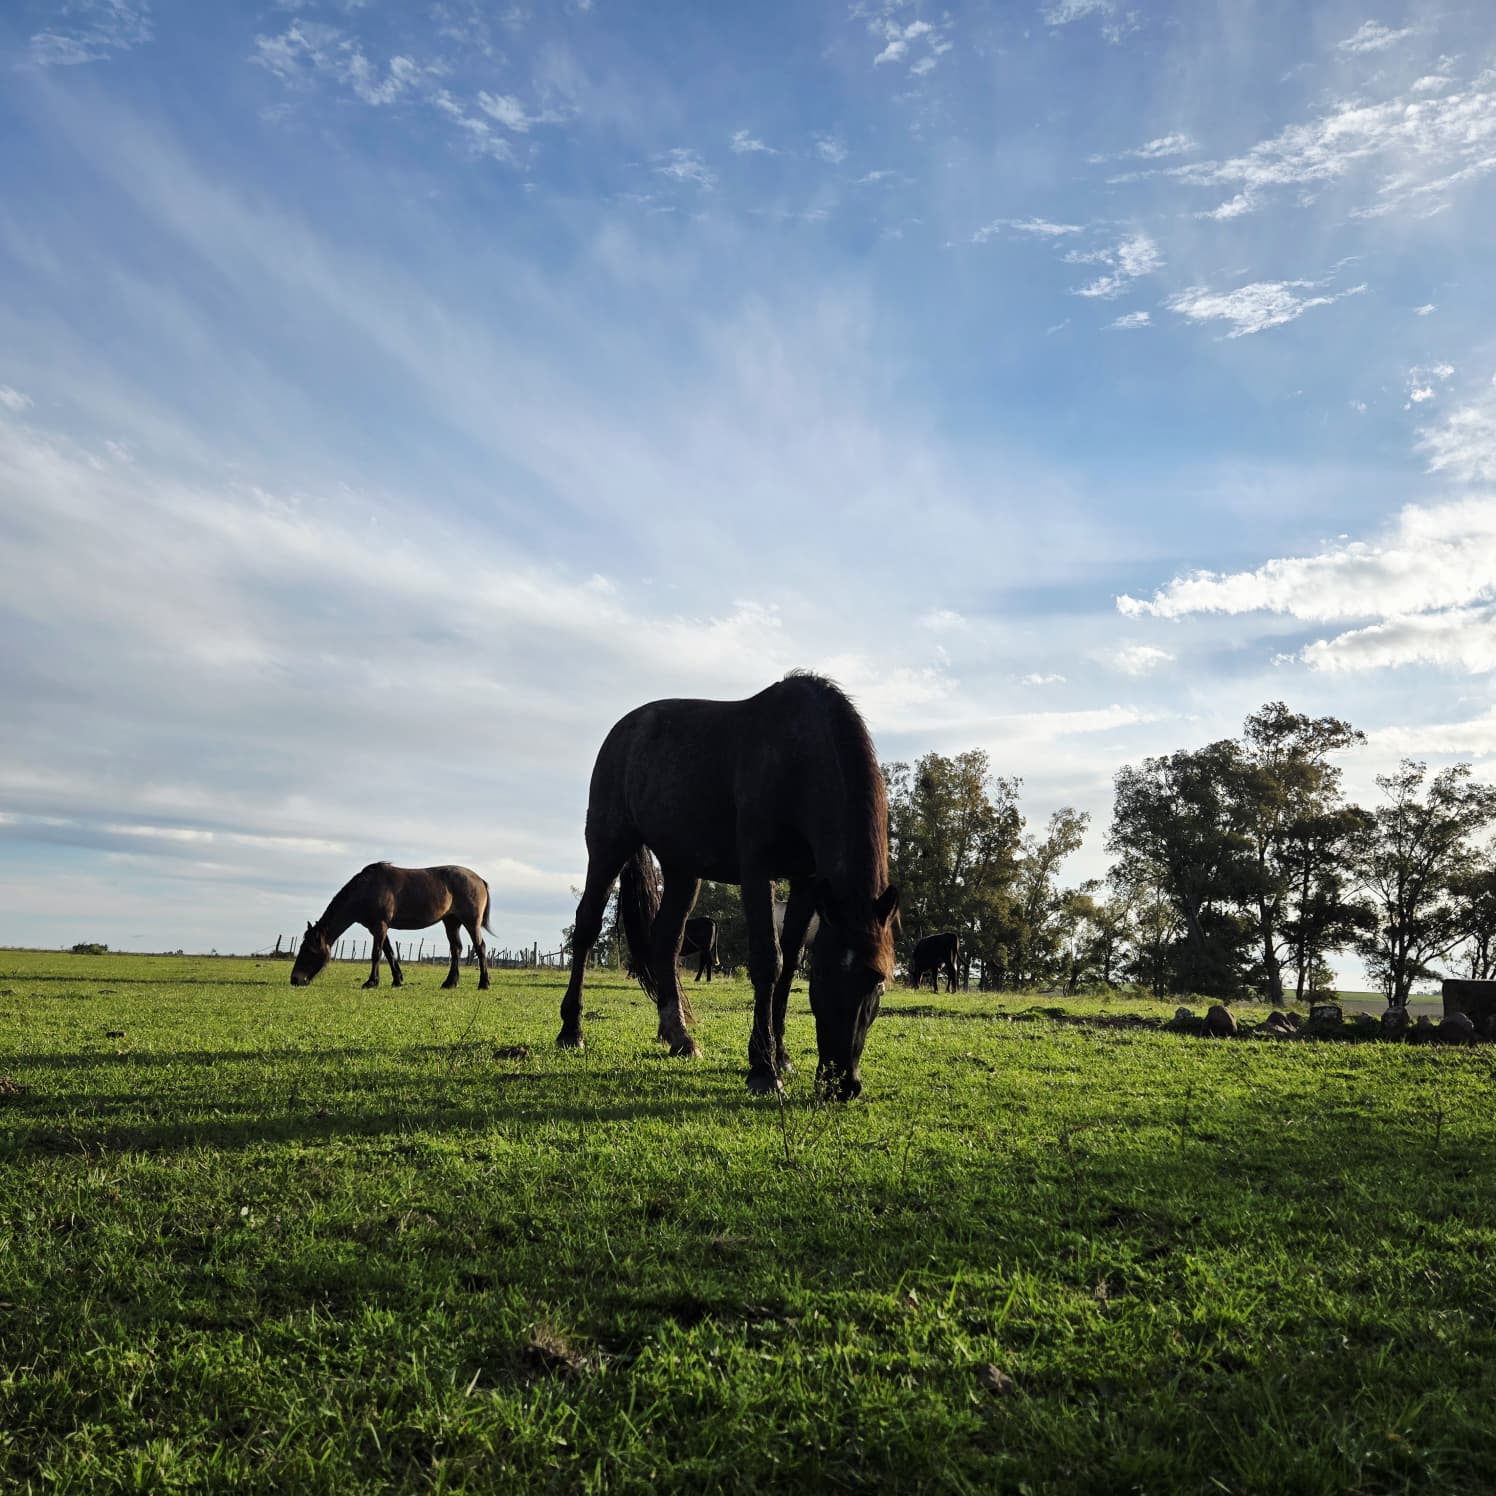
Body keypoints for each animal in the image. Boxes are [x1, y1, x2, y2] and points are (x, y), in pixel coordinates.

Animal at [290, 863, 493, 990]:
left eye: (308, 950)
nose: (294, 979)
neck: (366, 889)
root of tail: (479, 879)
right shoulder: (377, 927)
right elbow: (389, 952)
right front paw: (397, 980)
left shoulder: (380, 925)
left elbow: (376, 953)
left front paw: (371, 982)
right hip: (451, 921)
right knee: (456, 949)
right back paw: (450, 982)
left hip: (471, 922)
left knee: (480, 948)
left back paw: (483, 983)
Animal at [557, 673, 898, 1099]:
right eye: (822, 977)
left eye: (877, 983)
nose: (841, 1084)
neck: (797, 757)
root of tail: (624, 730)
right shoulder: (757, 871)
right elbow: (769, 960)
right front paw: (764, 1068)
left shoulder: (806, 882)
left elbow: (788, 964)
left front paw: (780, 1055)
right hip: (609, 847)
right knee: (586, 927)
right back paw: (571, 1031)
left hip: (683, 870)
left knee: (666, 942)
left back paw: (680, 1037)